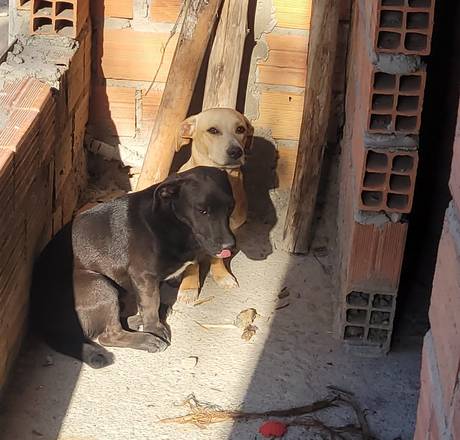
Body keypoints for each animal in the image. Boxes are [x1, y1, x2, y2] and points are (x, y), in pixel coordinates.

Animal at [32, 167, 235, 368]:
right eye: (202, 211)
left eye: (230, 207)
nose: (230, 245)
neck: (171, 221)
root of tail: (46, 325)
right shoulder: (144, 276)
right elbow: (150, 304)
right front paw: (154, 329)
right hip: (99, 284)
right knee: (108, 335)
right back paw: (146, 338)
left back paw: (137, 321)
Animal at [175, 108, 254, 303]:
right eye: (213, 130)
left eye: (240, 129)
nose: (236, 151)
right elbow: (192, 264)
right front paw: (189, 287)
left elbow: (218, 256)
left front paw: (222, 276)